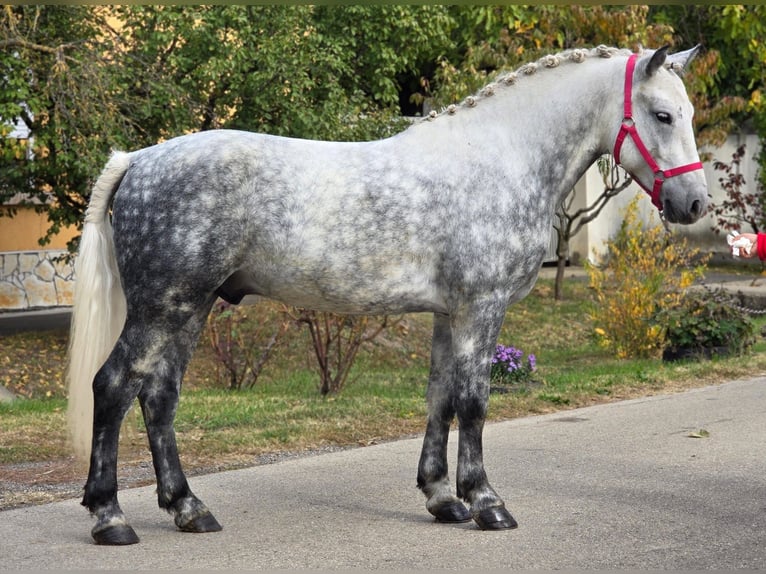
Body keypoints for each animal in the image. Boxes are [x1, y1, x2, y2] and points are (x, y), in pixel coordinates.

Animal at [66, 45, 707, 545]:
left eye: (691, 114)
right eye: (662, 114)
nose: (695, 204)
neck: (501, 158)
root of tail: (138, 159)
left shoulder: (450, 315)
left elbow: (440, 398)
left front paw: (442, 498)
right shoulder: (481, 308)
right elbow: (474, 402)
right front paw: (486, 503)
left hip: (189, 308)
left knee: (159, 397)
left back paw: (188, 509)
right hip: (163, 308)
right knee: (114, 387)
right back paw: (110, 517)